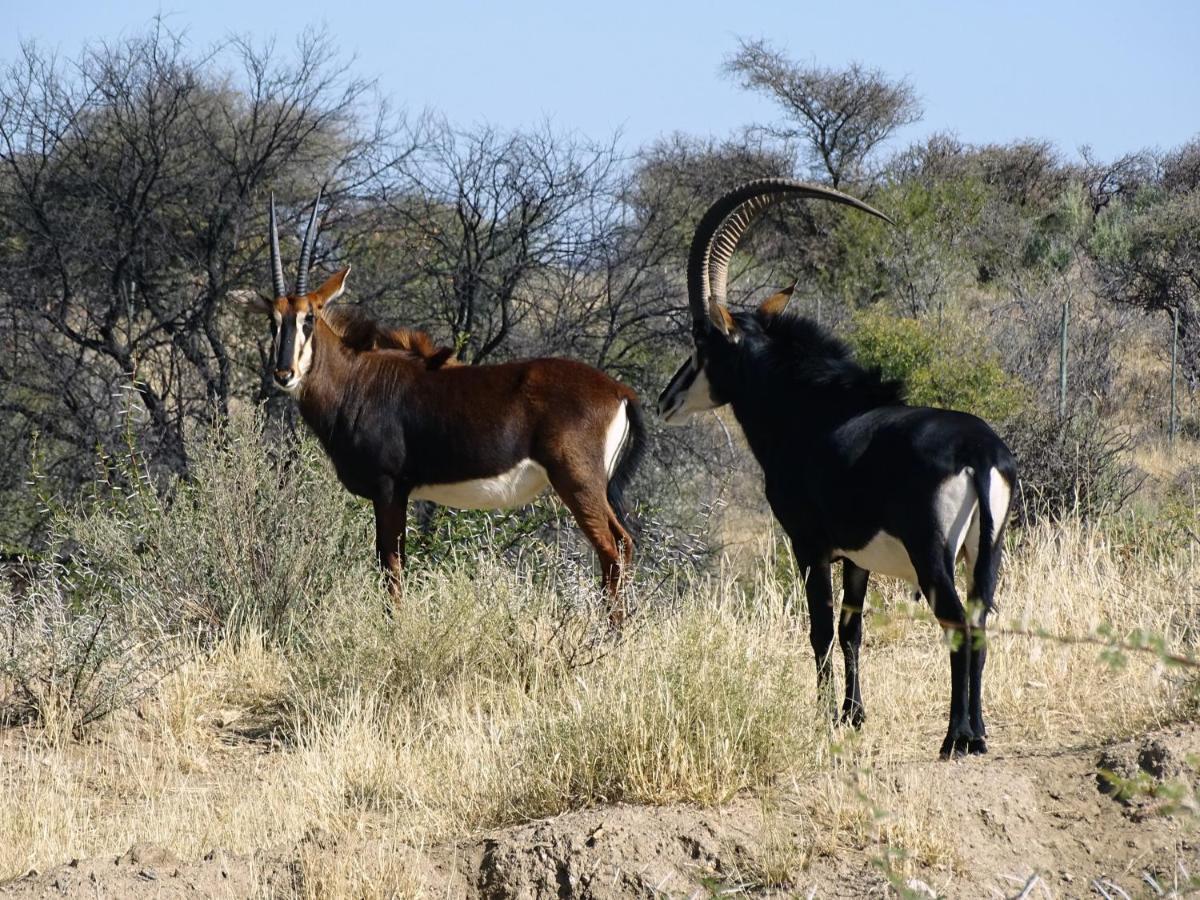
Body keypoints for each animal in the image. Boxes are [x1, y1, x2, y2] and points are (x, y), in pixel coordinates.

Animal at [242, 194, 648, 624]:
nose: (284, 373)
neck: (356, 378)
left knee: (611, 550)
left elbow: (391, 566)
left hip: (578, 482)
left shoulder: (389, 489)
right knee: (621, 545)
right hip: (594, 487)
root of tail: (620, 391)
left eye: (310, 317)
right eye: (273, 321)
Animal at [662, 180, 1017, 758]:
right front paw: (853, 715)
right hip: (986, 552)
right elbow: (853, 630)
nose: (666, 399)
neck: (815, 410)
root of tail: (981, 454)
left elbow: (821, 630)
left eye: (700, 342)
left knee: (957, 624)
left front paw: (823, 718)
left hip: (931, 555)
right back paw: (980, 733)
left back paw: (955, 737)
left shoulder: (809, 545)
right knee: (980, 621)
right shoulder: (857, 557)